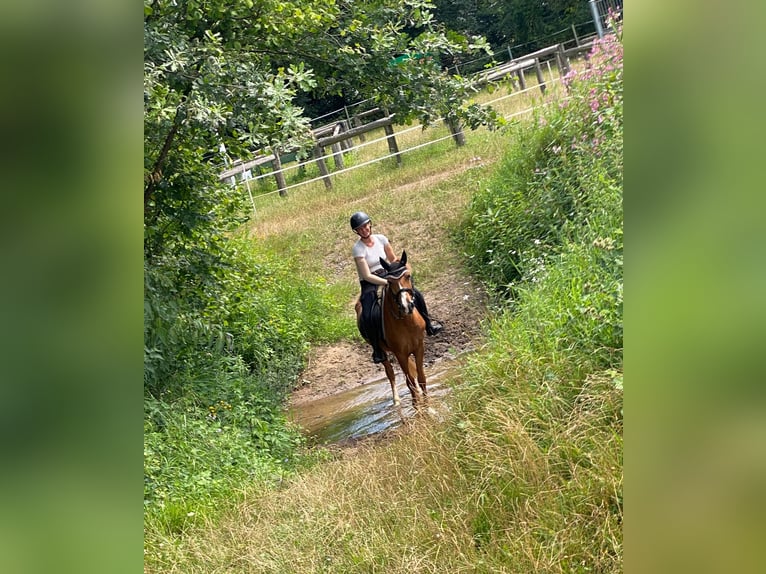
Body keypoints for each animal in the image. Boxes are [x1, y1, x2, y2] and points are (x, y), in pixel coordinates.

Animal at [356, 251, 428, 404]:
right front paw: (418, 408)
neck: (406, 322)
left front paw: (430, 407)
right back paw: (396, 400)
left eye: (408, 276)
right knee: (390, 373)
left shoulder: (419, 347)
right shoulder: (400, 354)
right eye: (389, 282)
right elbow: (410, 382)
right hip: (382, 351)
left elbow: (421, 377)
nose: (407, 306)